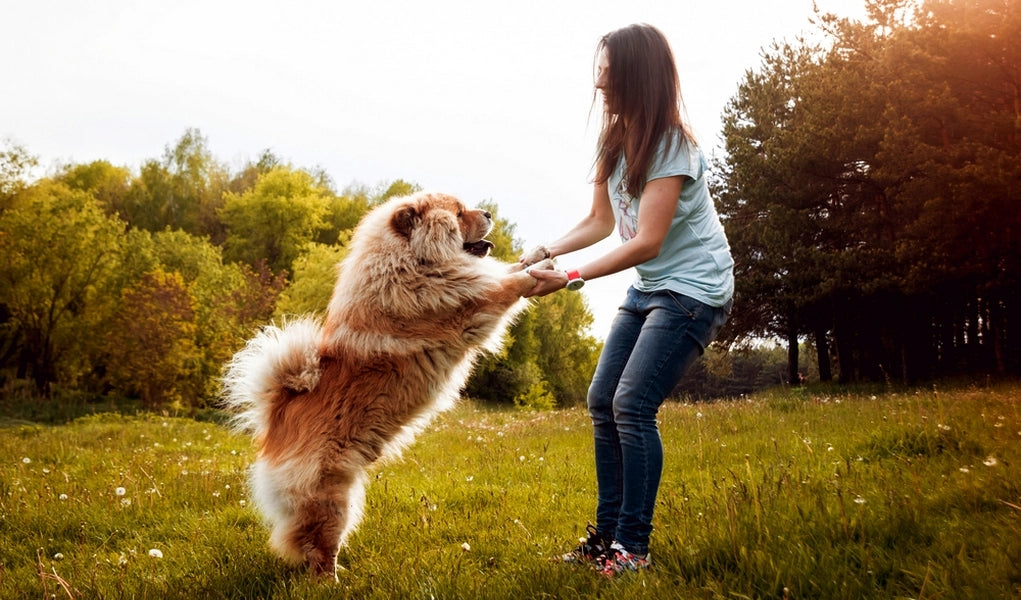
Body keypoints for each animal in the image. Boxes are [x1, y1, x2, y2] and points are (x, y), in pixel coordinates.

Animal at [222, 190, 551, 575]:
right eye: (458, 214)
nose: (486, 212)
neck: (413, 262)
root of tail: (277, 418)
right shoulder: (471, 303)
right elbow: (509, 284)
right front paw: (543, 273)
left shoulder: (471, 281)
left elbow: (504, 269)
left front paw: (538, 255)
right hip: (332, 500)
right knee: (319, 550)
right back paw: (333, 580)